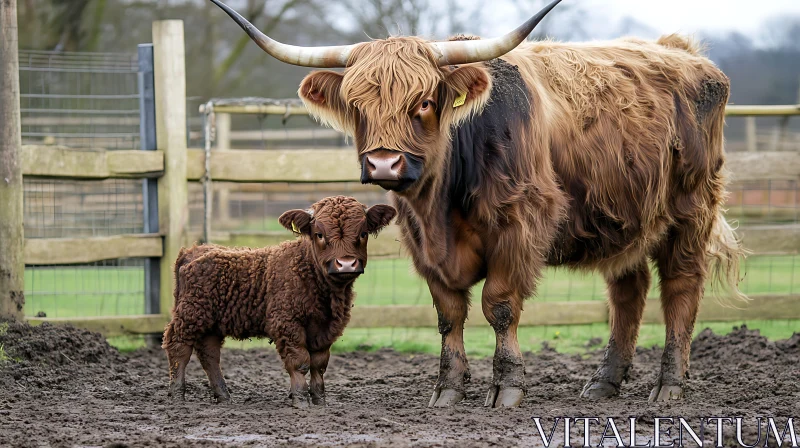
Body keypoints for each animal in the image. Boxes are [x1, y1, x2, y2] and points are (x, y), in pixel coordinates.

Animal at [162, 196, 396, 406]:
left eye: (363, 233)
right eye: (319, 234)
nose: (346, 263)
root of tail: (194, 250)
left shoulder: (326, 329)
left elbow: (319, 364)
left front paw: (319, 401)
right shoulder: (287, 322)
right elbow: (300, 362)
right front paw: (300, 400)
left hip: (211, 321)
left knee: (209, 354)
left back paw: (224, 397)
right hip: (191, 314)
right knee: (178, 347)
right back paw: (177, 396)